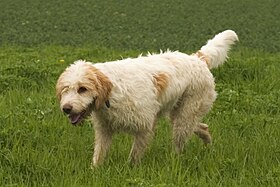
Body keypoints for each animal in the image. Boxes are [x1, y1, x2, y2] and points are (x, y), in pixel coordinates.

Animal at [56, 29, 238, 167]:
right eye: (65, 90)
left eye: (82, 89)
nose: (66, 109)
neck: (112, 94)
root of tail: (198, 58)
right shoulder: (104, 131)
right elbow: (99, 156)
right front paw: (95, 171)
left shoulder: (145, 127)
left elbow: (134, 157)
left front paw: (130, 169)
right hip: (181, 115)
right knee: (202, 127)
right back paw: (207, 143)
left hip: (185, 116)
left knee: (180, 144)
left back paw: (175, 161)